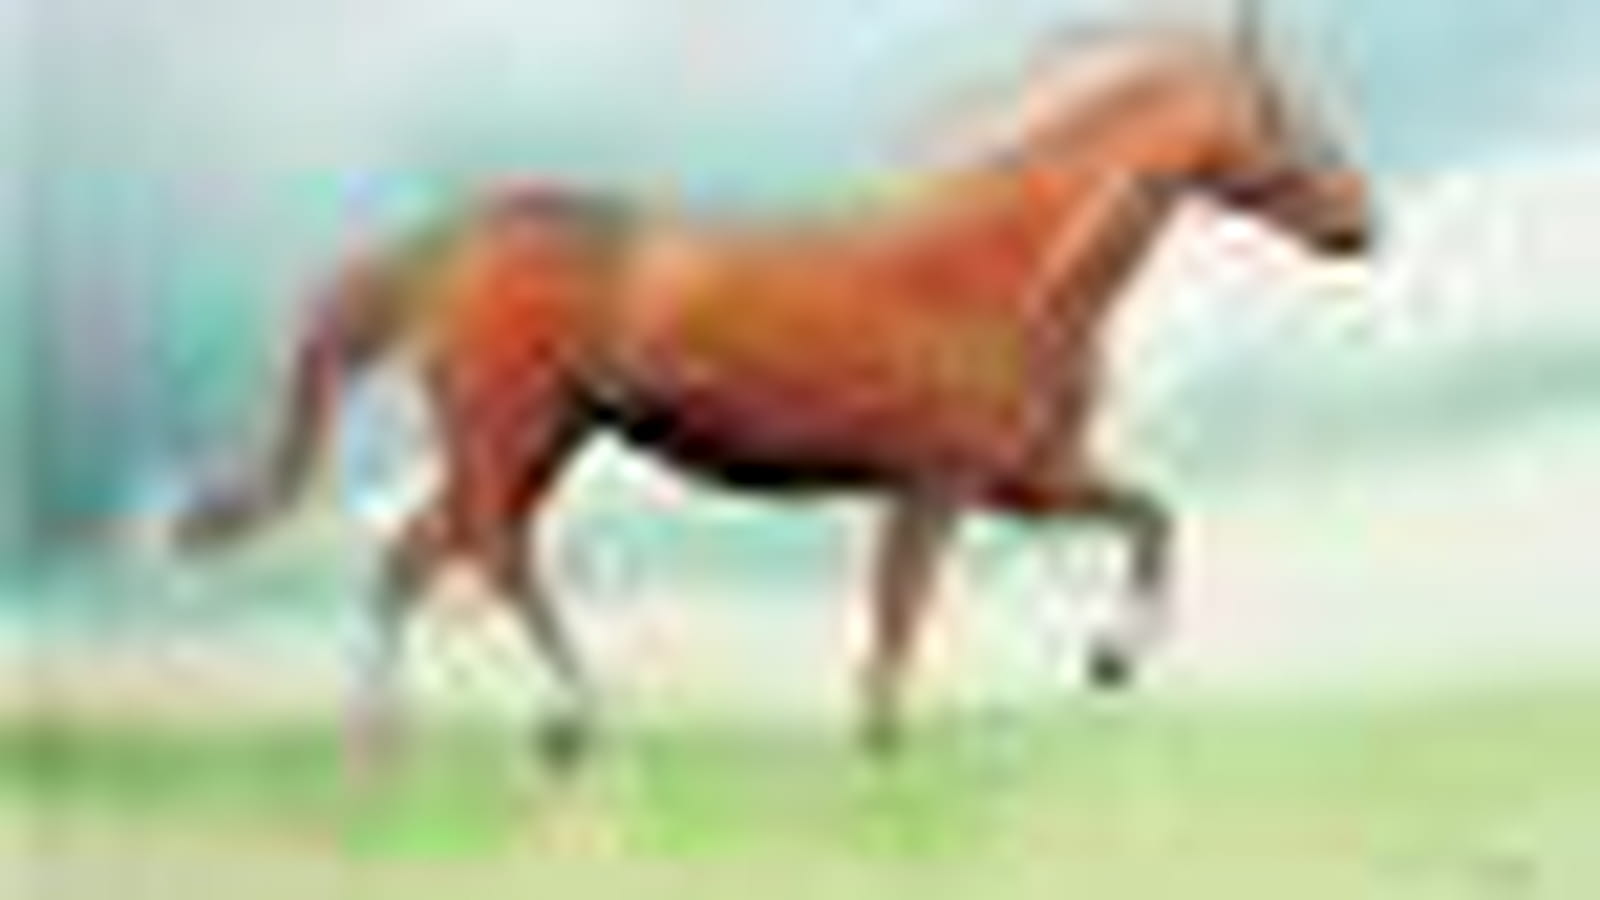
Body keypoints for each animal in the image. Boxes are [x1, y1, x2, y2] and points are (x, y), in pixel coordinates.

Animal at [174, 11, 1374, 765]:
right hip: (512, 435)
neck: (1002, 269)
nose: (1364, 226)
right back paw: (568, 723)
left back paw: (389, 746)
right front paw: (888, 744)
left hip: (535, 444)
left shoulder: (1024, 477)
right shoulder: (938, 484)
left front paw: (1109, 662)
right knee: (482, 552)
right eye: (1288, 114)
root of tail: (452, 245)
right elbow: (902, 609)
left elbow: (1151, 515)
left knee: (421, 555)